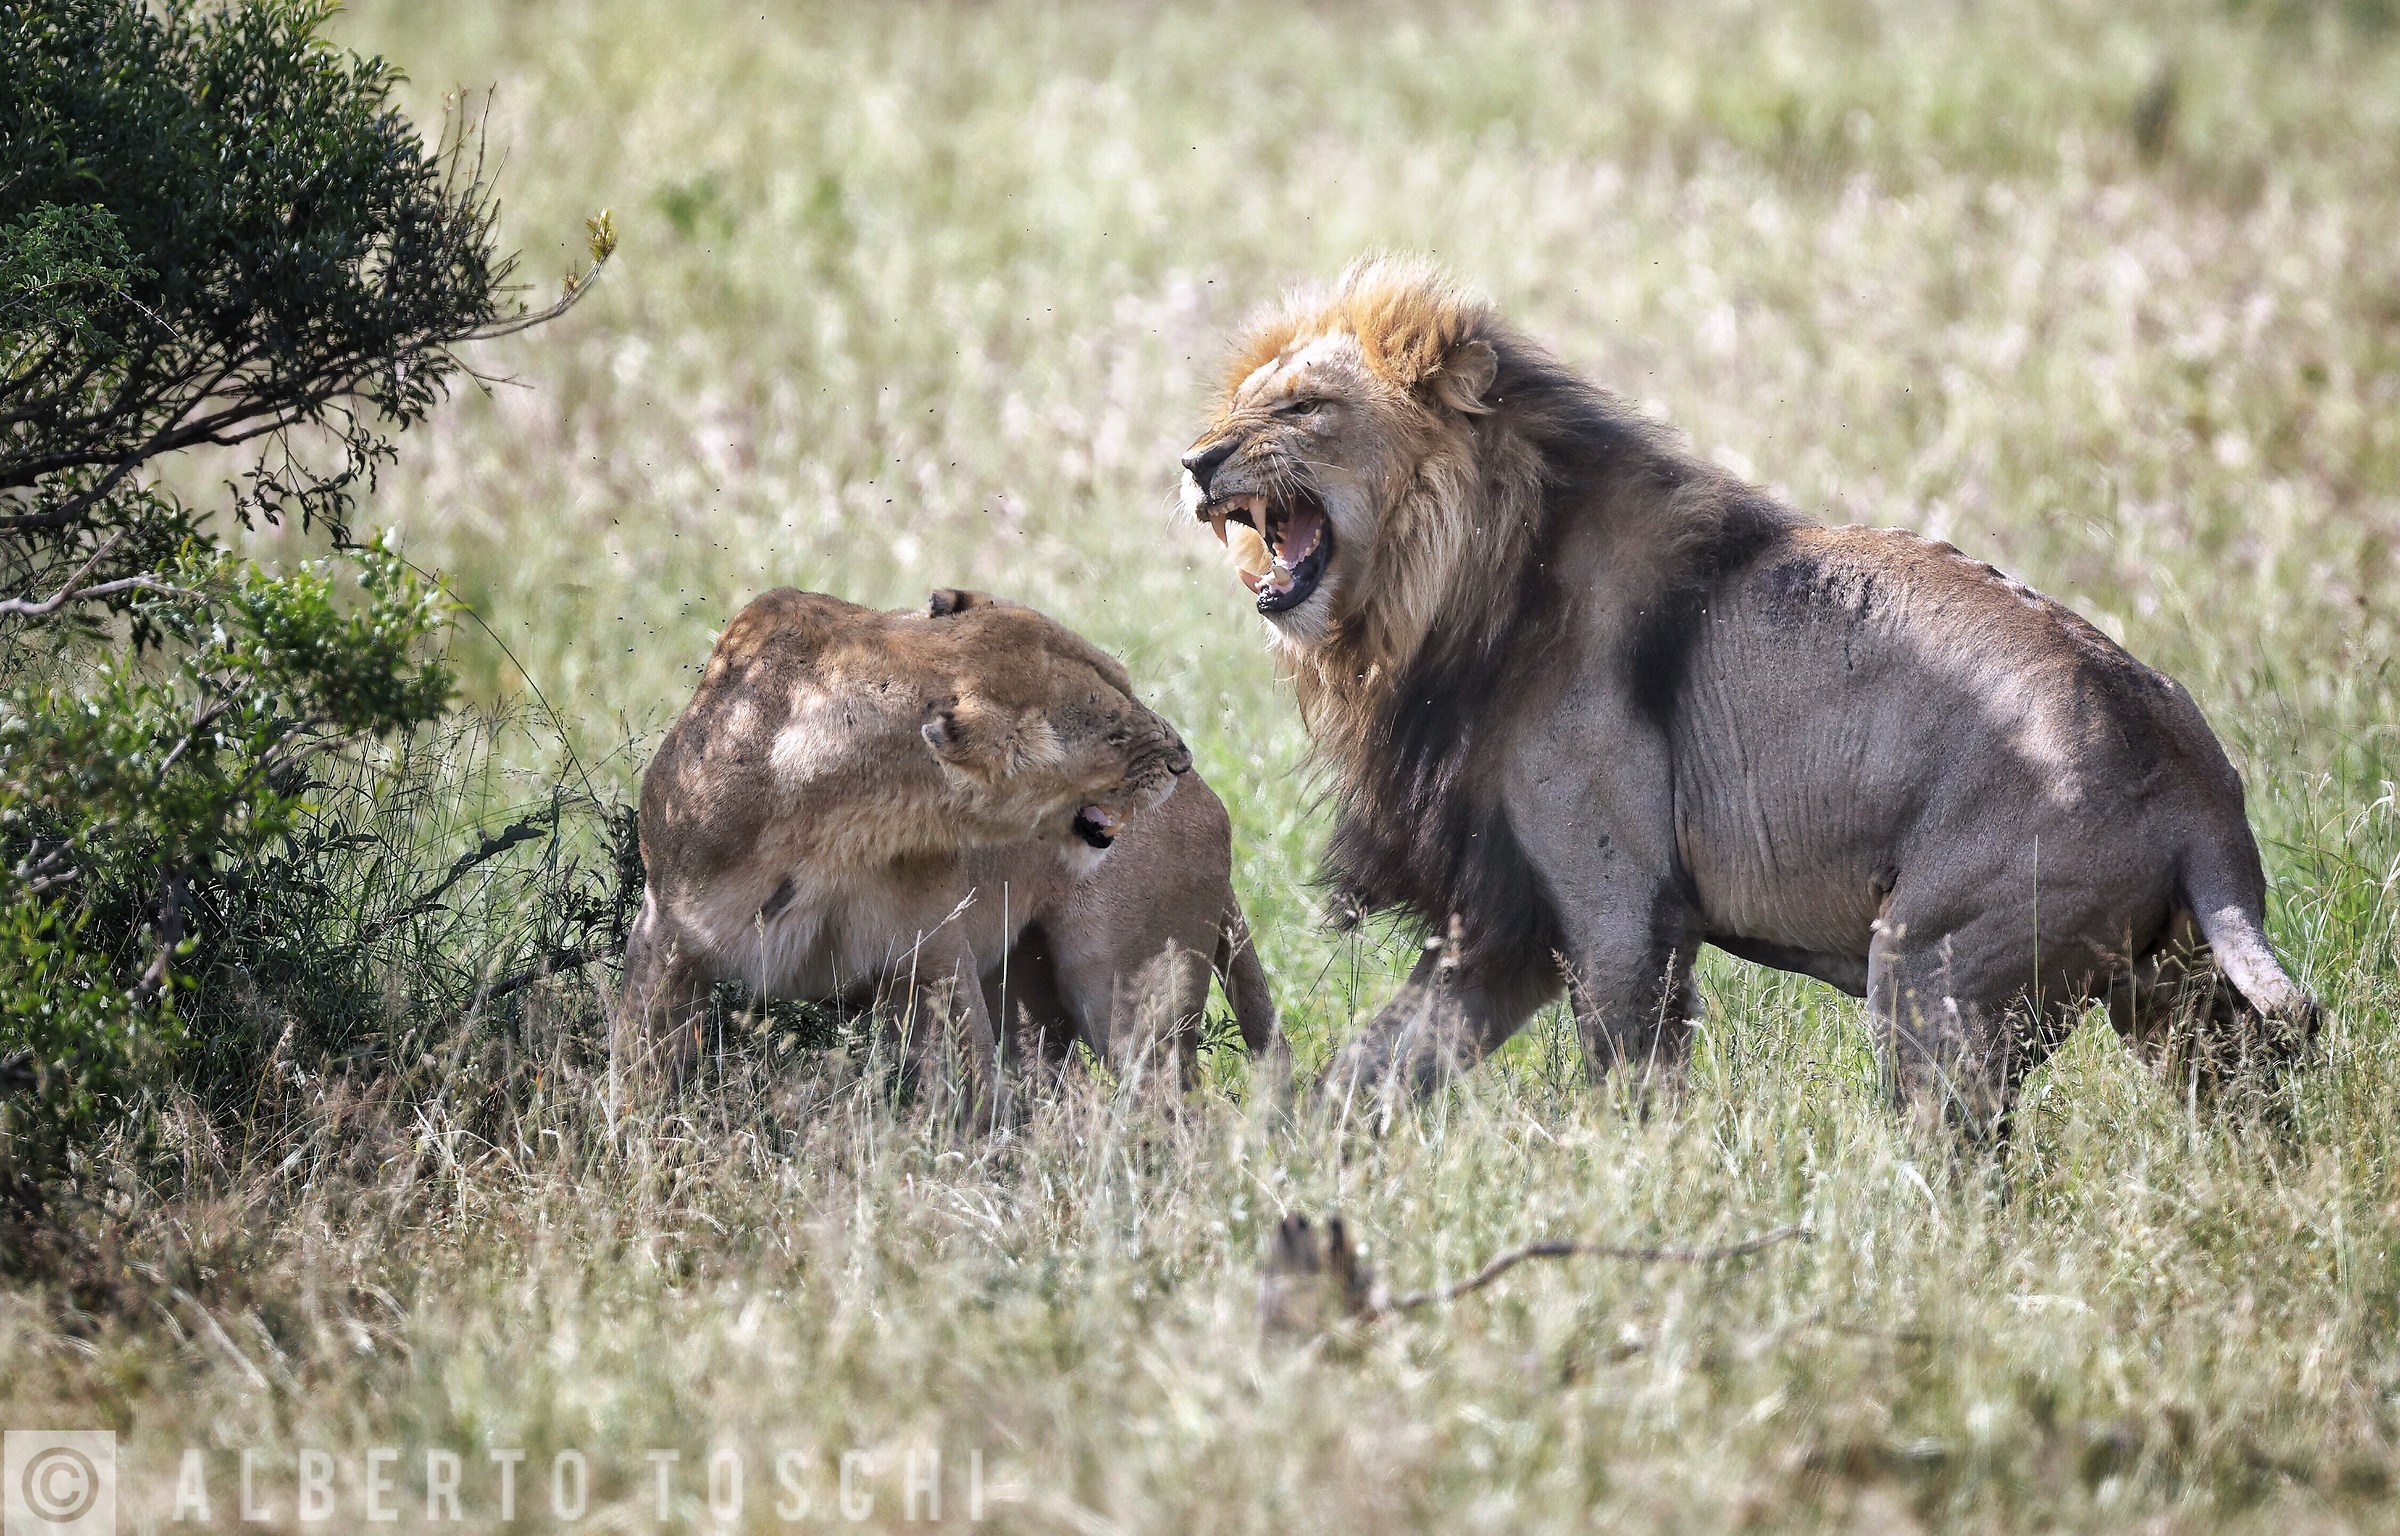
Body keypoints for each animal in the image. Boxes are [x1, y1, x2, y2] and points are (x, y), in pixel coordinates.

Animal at [616, 587, 1279, 1117]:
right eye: (1113, 732)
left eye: (1125, 682)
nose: (1181, 760)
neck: (834, 824)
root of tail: (1215, 800)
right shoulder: (667, 932)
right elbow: (640, 1066)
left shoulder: (931, 959)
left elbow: (969, 1088)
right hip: (1029, 993)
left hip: (1130, 998)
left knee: (1173, 1109)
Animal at [1178, 257, 2314, 1135]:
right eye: (1240, 405)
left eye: (1303, 408)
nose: (1196, 460)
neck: (1436, 600)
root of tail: (2198, 788)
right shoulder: (1502, 919)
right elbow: (1374, 1066)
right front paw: (1277, 1163)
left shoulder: (1618, 903)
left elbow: (1632, 1082)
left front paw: (1639, 1198)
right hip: (2179, 999)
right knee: (2257, 1103)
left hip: (1932, 976)